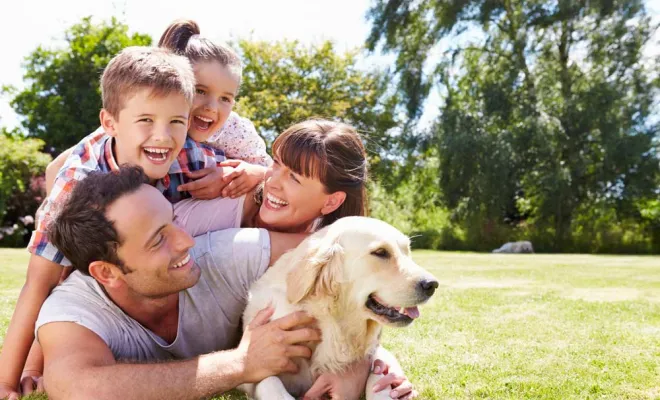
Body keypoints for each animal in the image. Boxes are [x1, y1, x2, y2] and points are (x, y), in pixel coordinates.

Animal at [238, 217, 438, 400]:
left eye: (407, 251)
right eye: (380, 252)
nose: (432, 284)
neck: (332, 324)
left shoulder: (375, 355)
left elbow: (379, 375)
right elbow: (271, 382)